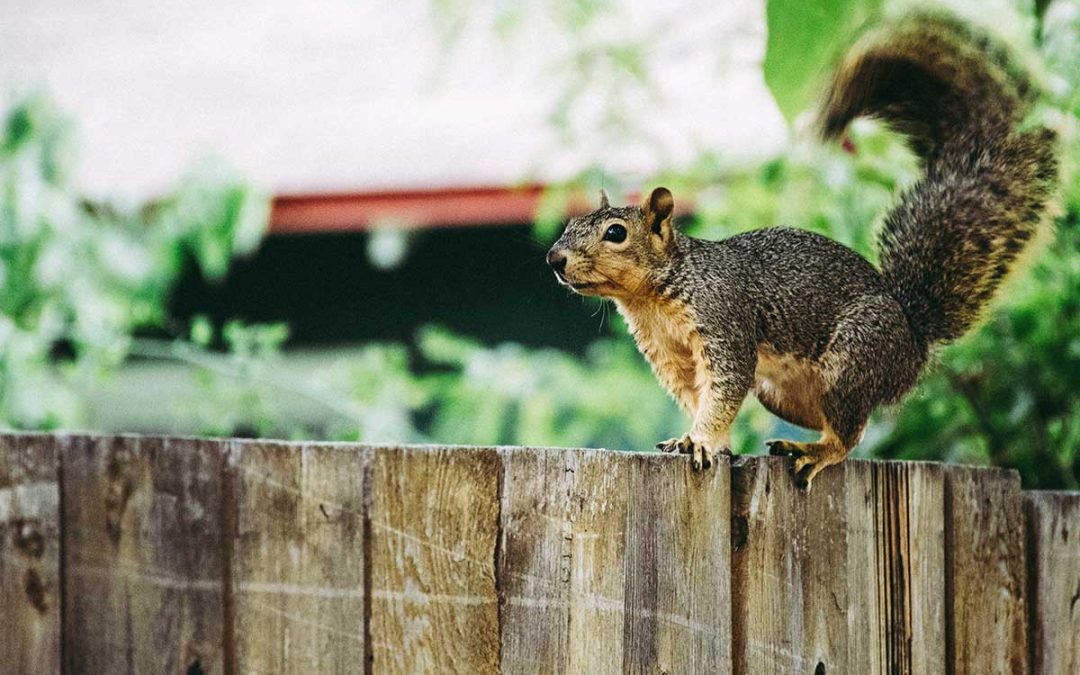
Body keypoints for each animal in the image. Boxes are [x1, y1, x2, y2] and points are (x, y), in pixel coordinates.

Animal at [546, 13, 1059, 488]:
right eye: (569, 225)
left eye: (615, 233)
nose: (554, 259)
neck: (652, 297)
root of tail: (913, 338)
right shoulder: (671, 356)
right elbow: (696, 395)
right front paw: (702, 439)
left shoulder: (724, 322)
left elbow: (723, 390)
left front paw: (701, 439)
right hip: (783, 391)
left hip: (853, 358)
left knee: (850, 433)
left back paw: (814, 451)